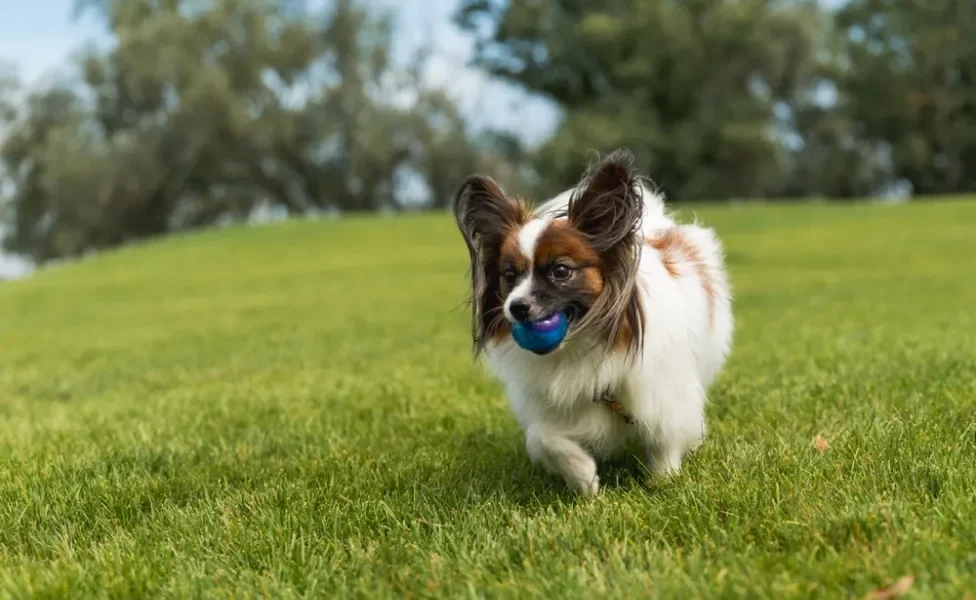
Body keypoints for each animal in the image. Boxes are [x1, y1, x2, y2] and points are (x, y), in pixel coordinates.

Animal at [452, 150, 732, 496]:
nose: (516, 308)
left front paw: (663, 479)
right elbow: (542, 437)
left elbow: (665, 435)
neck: (576, 346)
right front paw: (584, 478)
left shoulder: (662, 389)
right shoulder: (557, 403)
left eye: (560, 271)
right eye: (509, 275)